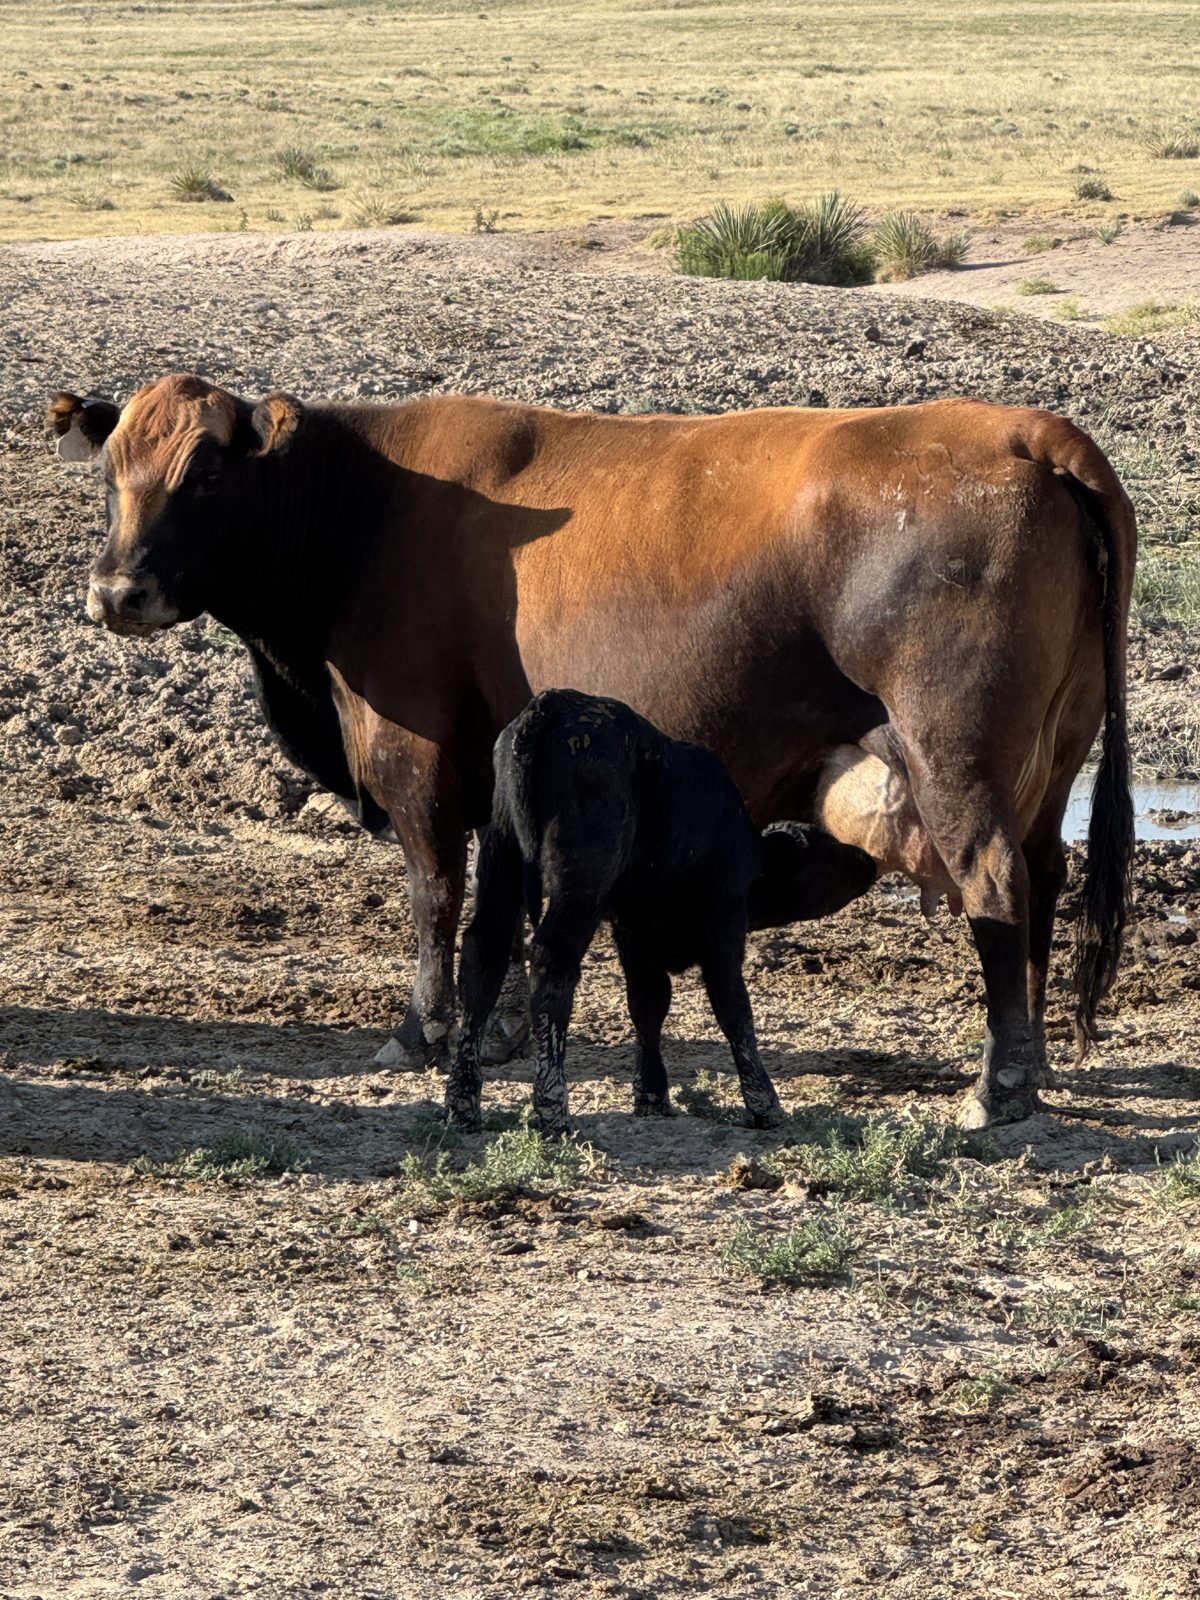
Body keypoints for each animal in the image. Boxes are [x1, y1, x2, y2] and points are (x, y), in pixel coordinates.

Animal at [446, 688, 877, 1133]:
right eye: (826, 852)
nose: (868, 861)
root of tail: (551, 706)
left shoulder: (633, 934)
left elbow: (648, 1005)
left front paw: (652, 1095)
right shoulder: (723, 924)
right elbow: (734, 1008)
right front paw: (764, 1102)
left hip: (500, 859)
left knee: (483, 955)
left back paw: (464, 1102)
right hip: (580, 882)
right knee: (552, 964)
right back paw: (552, 1107)